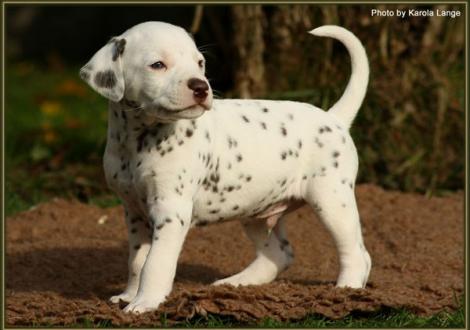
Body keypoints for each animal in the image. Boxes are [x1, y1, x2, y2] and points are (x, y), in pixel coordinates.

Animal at [80, 21, 370, 314]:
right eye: (158, 64)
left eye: (199, 63)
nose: (201, 87)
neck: (138, 140)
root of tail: (334, 118)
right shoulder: (134, 212)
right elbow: (137, 261)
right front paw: (129, 295)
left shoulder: (171, 211)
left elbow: (156, 262)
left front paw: (145, 303)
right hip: (257, 210)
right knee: (279, 254)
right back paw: (236, 285)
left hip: (332, 200)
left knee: (357, 253)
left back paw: (346, 290)